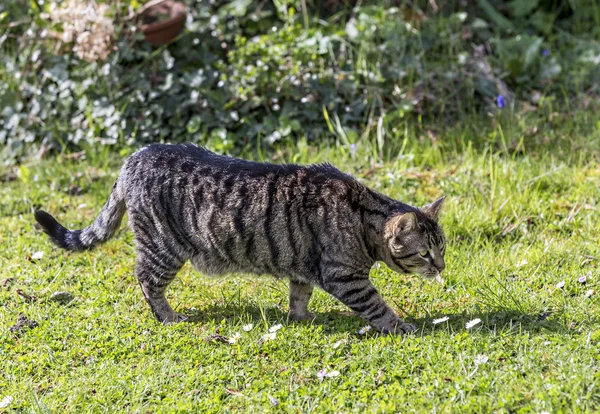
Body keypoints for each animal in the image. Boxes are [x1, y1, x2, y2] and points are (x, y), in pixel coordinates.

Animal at [34, 144, 446, 334]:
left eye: (442, 248)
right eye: (425, 254)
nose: (442, 268)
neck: (362, 217)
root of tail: (133, 157)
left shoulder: (303, 267)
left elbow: (299, 294)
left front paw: (301, 317)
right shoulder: (345, 276)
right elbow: (378, 306)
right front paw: (404, 328)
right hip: (163, 247)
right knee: (146, 281)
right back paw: (168, 317)